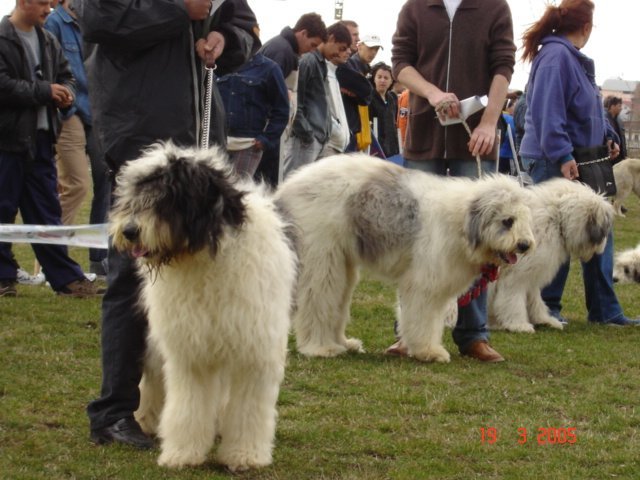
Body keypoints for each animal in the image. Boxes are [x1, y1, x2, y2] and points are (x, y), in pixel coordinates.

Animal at [109, 142, 298, 472]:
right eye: (133, 195)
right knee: (153, 379)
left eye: (166, 197)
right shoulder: (190, 349)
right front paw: (182, 453)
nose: (129, 230)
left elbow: (248, 408)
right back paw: (143, 419)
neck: (204, 255)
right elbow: (188, 406)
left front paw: (244, 455)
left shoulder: (255, 348)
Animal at [276, 156, 536, 362]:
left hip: (343, 263)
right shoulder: (425, 283)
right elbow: (422, 317)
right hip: (323, 258)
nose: (524, 245)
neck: (461, 223)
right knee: (318, 299)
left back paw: (345, 343)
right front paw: (428, 351)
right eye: (507, 221)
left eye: (525, 218)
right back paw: (321, 348)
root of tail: (287, 187)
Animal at [490, 178, 616, 332]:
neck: (557, 217)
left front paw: (544, 320)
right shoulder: (516, 273)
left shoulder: (532, 272)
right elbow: (513, 299)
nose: (602, 248)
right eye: (605, 228)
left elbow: (535, 299)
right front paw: (519, 324)